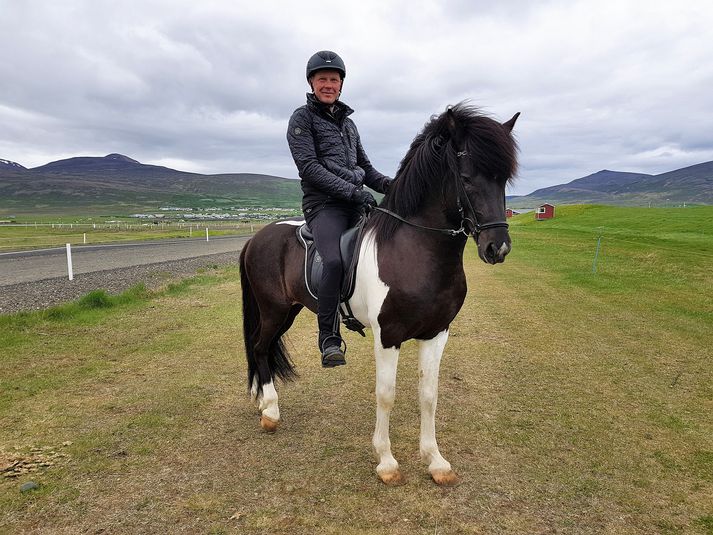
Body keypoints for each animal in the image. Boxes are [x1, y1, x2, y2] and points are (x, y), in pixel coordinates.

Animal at [239, 102, 516, 488]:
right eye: (466, 178)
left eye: (503, 179)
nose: (498, 247)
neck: (414, 250)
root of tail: (256, 237)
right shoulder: (388, 335)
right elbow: (386, 395)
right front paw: (386, 461)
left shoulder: (436, 333)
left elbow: (428, 395)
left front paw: (436, 461)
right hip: (273, 309)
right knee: (260, 347)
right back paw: (271, 412)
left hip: (289, 311)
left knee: (262, 348)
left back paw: (262, 402)